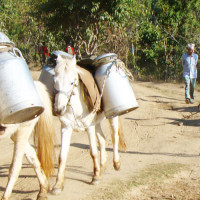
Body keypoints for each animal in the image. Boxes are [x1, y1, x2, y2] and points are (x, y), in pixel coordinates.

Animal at [50, 54, 126, 195]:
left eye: (72, 82)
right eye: (55, 80)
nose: (58, 109)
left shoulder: (89, 127)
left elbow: (93, 152)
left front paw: (95, 178)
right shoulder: (65, 128)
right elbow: (62, 156)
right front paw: (58, 185)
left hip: (112, 117)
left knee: (114, 137)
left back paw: (116, 163)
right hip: (97, 122)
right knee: (102, 139)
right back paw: (102, 166)